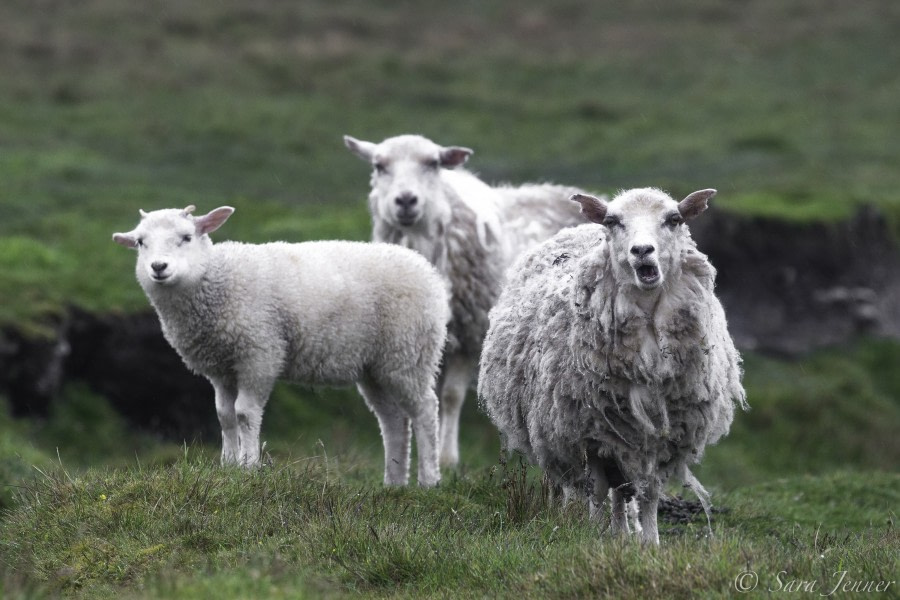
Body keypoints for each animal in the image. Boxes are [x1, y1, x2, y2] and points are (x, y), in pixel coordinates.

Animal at [112, 206, 450, 488]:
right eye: (140, 242)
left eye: (186, 237)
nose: (158, 267)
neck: (218, 280)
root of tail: (426, 270)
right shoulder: (221, 367)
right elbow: (224, 415)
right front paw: (227, 465)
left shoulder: (259, 353)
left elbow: (245, 413)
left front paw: (248, 466)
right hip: (376, 367)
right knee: (393, 420)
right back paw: (394, 482)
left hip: (409, 353)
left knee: (425, 410)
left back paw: (429, 480)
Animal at [344, 134, 592, 466]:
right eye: (379, 166)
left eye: (433, 163)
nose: (406, 200)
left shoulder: (470, 334)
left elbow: (450, 397)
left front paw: (447, 460)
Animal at [482, 188, 748, 544]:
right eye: (612, 221)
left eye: (674, 219)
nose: (642, 251)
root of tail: (577, 228)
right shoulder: (590, 431)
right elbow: (598, 489)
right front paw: (598, 534)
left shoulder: (657, 434)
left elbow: (647, 492)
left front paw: (648, 542)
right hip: (555, 428)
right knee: (575, 482)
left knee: (621, 490)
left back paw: (624, 530)